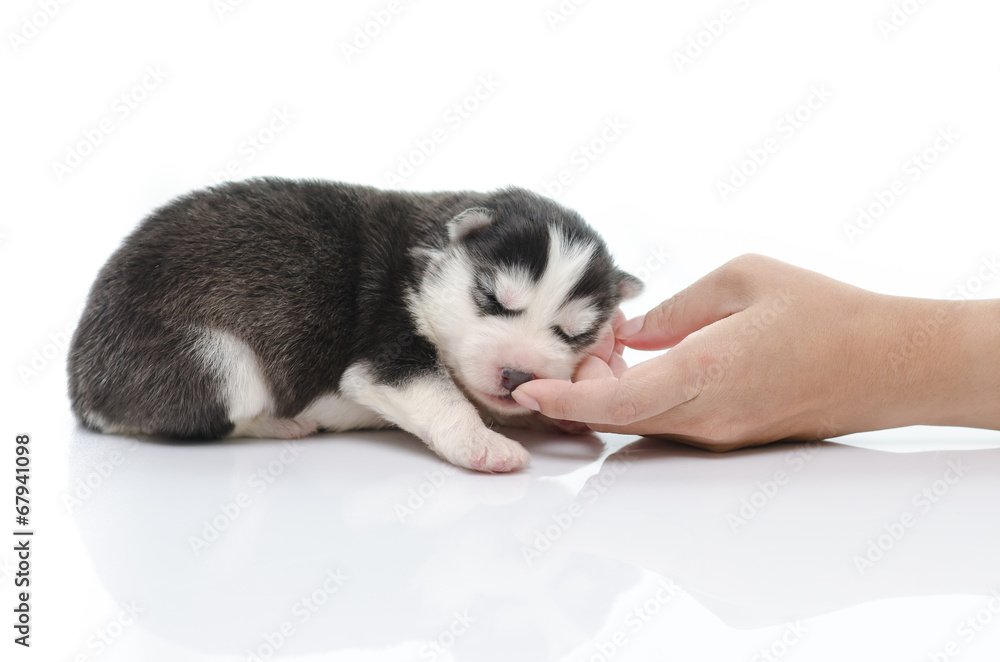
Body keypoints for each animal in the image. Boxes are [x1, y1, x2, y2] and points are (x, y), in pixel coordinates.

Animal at [68, 179, 640, 474]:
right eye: (492, 300)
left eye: (572, 333)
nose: (517, 376)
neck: (420, 263)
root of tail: (82, 389)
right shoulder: (384, 350)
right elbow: (441, 395)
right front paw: (484, 443)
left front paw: (553, 416)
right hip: (212, 358)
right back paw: (281, 424)